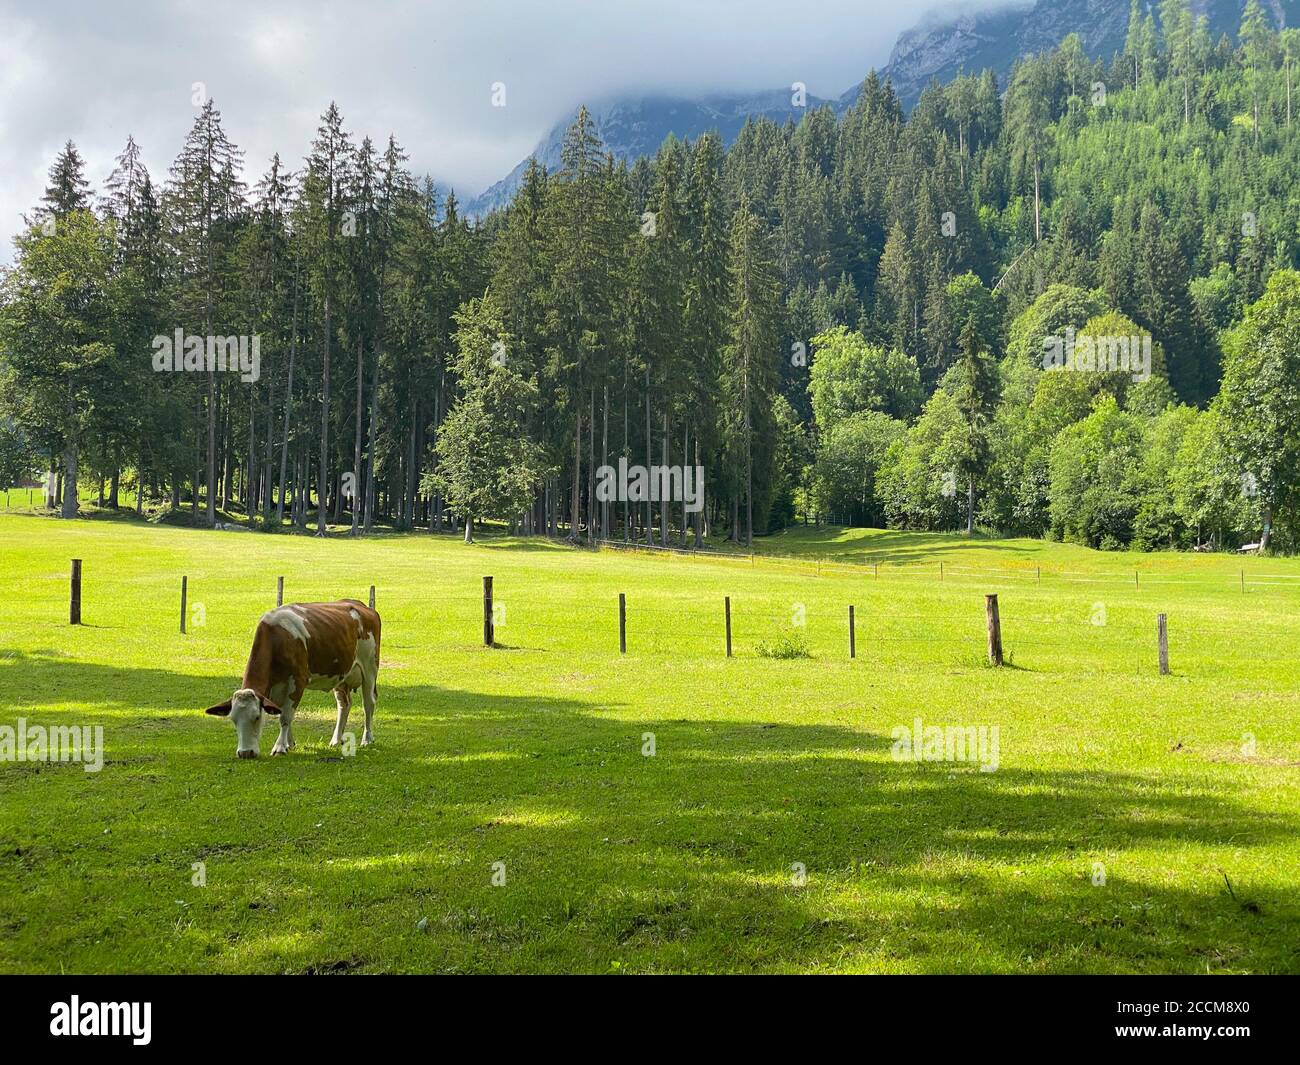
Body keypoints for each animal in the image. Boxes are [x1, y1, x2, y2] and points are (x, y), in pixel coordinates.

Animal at [200, 600, 379, 759]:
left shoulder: (297, 682)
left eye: (256, 717)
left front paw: (280, 747)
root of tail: (362, 606)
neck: (277, 639)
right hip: (342, 674)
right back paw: (336, 740)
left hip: (370, 667)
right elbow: (283, 713)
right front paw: (289, 744)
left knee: (368, 704)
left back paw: (367, 739)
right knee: (344, 704)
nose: (245, 753)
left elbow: (286, 716)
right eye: (233, 720)